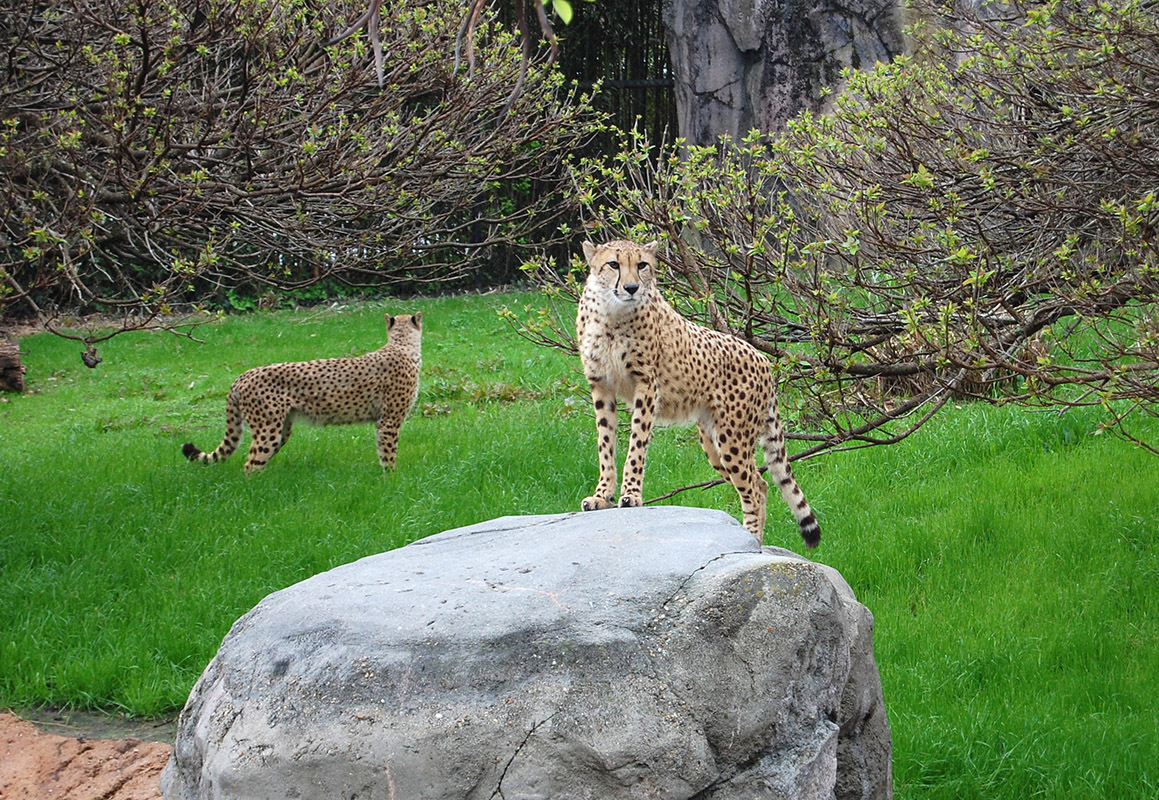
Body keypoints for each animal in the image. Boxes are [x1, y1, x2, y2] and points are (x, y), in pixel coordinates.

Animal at [185, 310, 426, 473]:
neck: (401, 345)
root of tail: (242, 375)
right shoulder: (389, 421)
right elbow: (388, 454)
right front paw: (390, 479)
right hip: (267, 429)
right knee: (250, 464)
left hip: (282, 428)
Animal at [574, 239, 820, 544]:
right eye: (613, 264)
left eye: (642, 265)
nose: (631, 288)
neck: (611, 313)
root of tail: (763, 358)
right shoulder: (601, 386)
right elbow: (605, 444)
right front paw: (602, 495)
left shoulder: (647, 385)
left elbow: (637, 443)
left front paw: (630, 494)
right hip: (713, 443)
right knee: (760, 483)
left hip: (733, 438)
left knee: (753, 488)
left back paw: (751, 541)